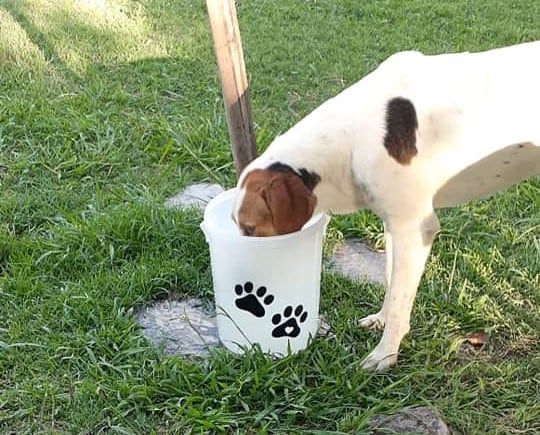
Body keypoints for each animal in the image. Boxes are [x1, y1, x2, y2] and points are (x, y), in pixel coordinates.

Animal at [231, 42, 540, 372]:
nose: (244, 286)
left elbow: (399, 302)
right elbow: (392, 285)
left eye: (250, 227)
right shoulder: (392, 226)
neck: (352, 136)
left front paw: (385, 355)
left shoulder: (414, 230)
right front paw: (381, 321)